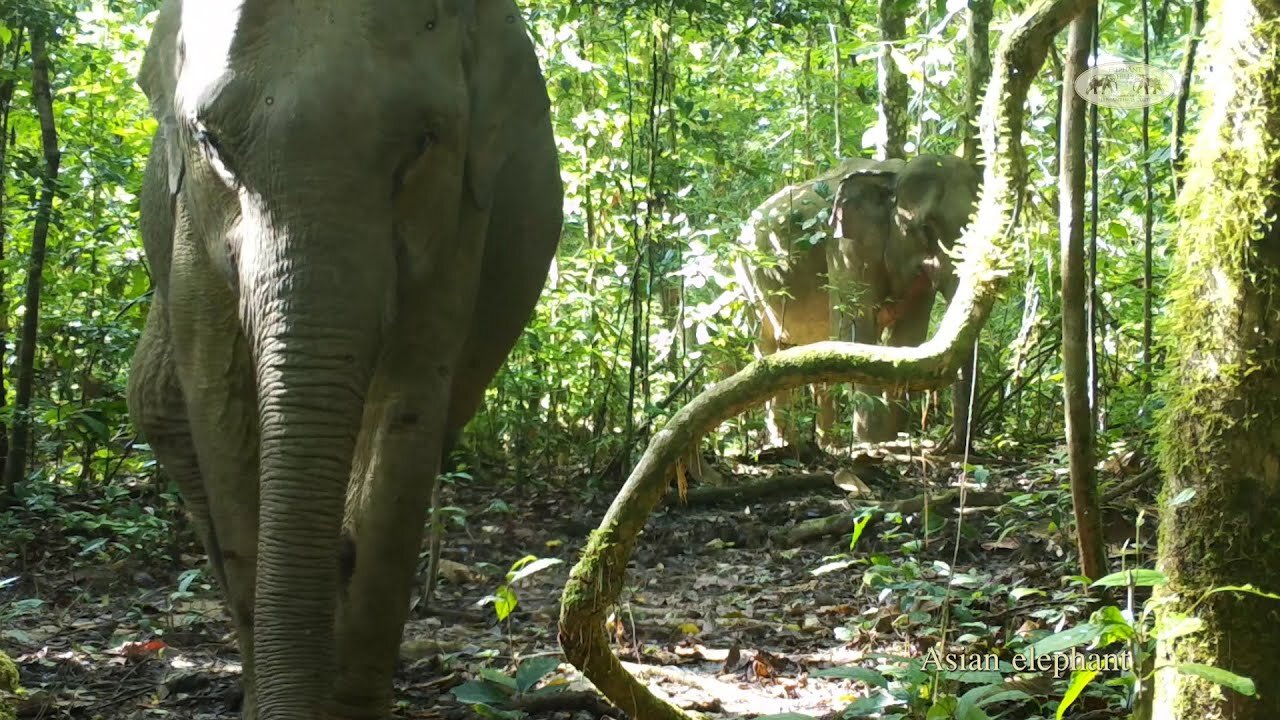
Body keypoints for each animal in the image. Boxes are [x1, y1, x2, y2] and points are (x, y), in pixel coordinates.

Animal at [127, 2, 563, 712]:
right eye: (213, 143)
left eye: (423, 142)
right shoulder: (191, 223)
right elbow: (219, 404)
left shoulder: (462, 214)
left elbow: (407, 408)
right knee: (159, 409)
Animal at [732, 154, 977, 448]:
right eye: (926, 229)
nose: (951, 446)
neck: (895, 177)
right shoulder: (845, 249)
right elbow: (857, 330)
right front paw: (871, 442)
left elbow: (907, 339)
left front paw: (889, 439)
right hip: (750, 282)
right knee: (768, 348)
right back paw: (784, 444)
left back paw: (827, 445)